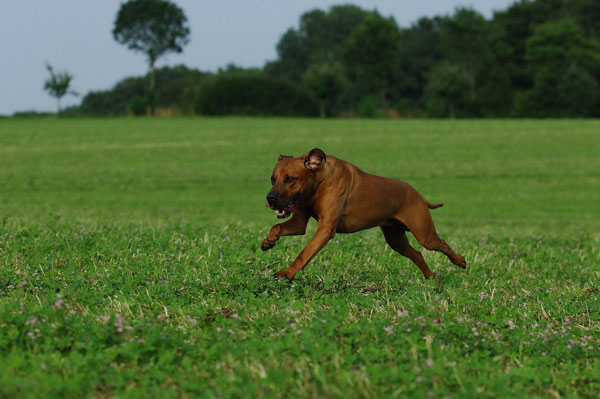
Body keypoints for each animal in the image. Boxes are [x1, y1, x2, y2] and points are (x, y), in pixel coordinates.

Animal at [260, 148, 466, 282]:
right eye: (272, 178)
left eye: (290, 178)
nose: (270, 198)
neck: (320, 180)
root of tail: (419, 195)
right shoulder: (299, 222)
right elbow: (277, 226)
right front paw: (269, 241)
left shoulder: (326, 229)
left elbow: (304, 253)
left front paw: (287, 273)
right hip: (395, 239)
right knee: (417, 254)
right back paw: (430, 277)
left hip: (424, 234)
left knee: (441, 244)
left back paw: (460, 261)